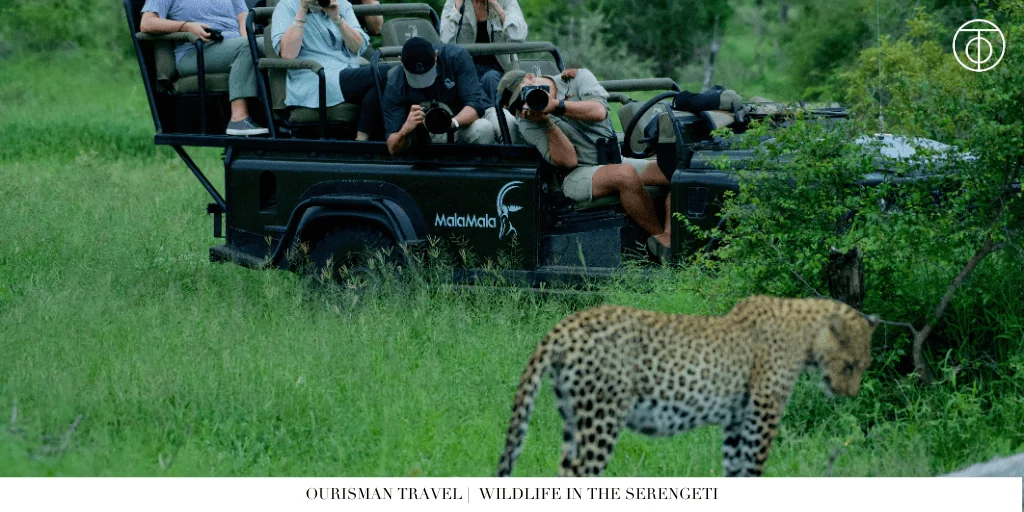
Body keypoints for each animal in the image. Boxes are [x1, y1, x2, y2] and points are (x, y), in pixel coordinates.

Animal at [495, 295, 878, 477]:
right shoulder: (762, 417)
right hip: (603, 418)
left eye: (863, 366)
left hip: (574, 416)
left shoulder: (737, 422)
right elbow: (754, 470)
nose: (850, 394)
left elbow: (735, 472)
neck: (805, 333)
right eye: (850, 365)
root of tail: (567, 324)